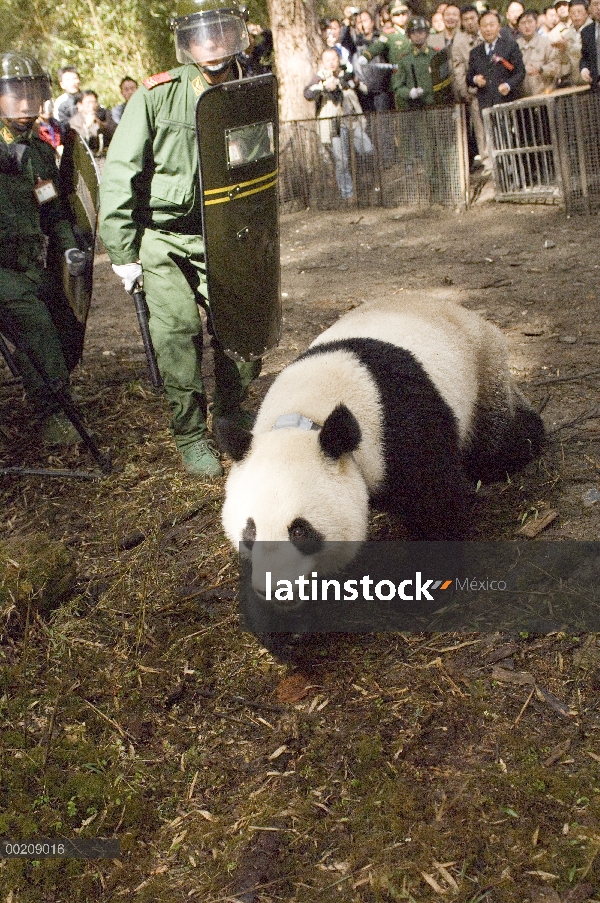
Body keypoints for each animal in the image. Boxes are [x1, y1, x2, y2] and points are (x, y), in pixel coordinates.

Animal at [216, 296, 544, 592]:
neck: (307, 414)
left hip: (483, 373)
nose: (272, 588)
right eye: (250, 530)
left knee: (494, 446)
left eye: (300, 530)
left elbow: (436, 504)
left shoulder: (402, 430)